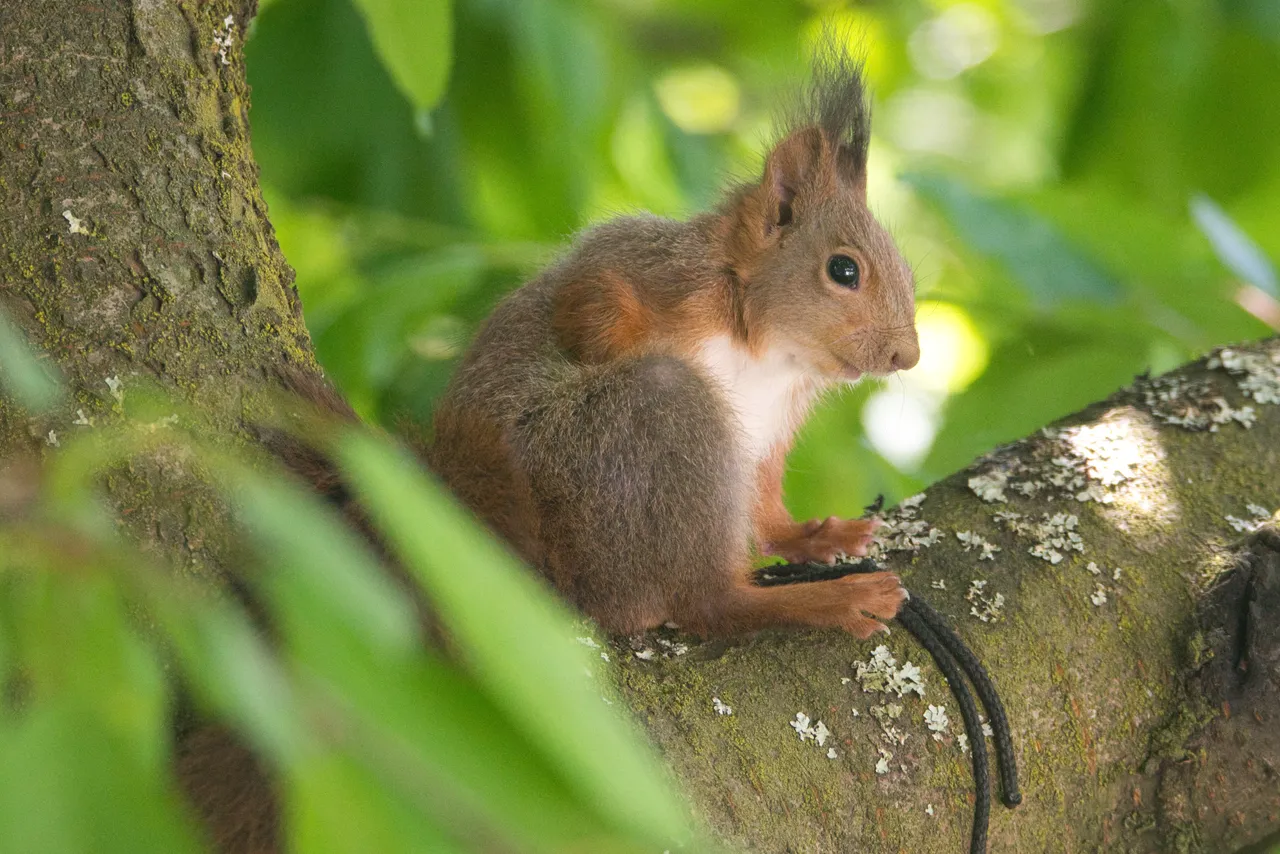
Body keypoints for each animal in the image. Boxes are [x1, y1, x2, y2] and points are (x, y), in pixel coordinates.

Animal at [430, 53, 921, 637]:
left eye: (911, 276)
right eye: (843, 270)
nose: (908, 356)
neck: (767, 354)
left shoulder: (770, 425)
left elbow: (765, 510)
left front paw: (810, 534)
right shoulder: (653, 269)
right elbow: (586, 302)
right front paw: (611, 349)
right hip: (644, 425)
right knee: (710, 604)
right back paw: (837, 600)